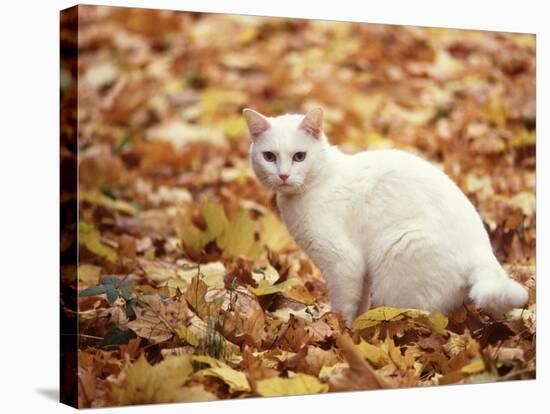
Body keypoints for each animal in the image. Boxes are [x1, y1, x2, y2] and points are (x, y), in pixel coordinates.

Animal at [245, 106, 532, 326]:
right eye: (269, 156)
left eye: (299, 157)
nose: (283, 175)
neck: (319, 182)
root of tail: (483, 252)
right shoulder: (359, 271)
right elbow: (358, 303)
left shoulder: (343, 263)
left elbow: (343, 306)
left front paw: (339, 335)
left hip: (396, 259)